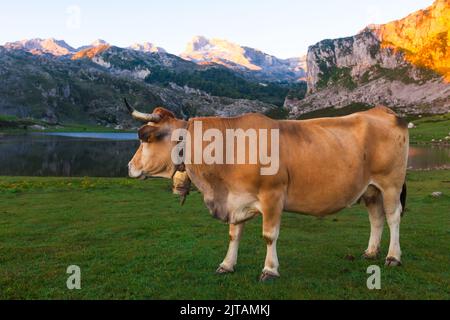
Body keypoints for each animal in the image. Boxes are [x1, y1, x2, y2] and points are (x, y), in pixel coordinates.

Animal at [125, 99, 408, 280]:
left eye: (146, 137)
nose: (129, 166)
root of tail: (384, 111)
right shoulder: (236, 198)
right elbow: (234, 234)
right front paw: (227, 265)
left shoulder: (273, 196)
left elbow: (269, 235)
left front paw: (269, 270)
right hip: (370, 189)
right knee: (376, 218)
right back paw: (371, 252)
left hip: (391, 183)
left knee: (393, 217)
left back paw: (393, 257)